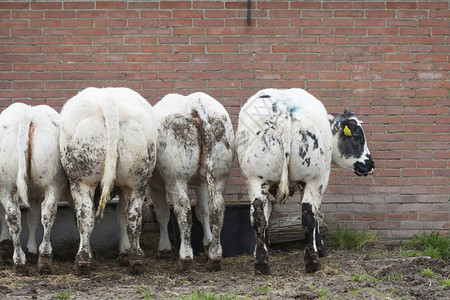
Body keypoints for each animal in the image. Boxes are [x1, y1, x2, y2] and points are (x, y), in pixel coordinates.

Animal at [0, 102, 67, 274]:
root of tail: (28, 113)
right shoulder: (35, 195)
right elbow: (33, 219)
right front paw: (31, 249)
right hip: (53, 182)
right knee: (47, 213)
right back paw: (44, 258)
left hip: (6, 185)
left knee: (12, 216)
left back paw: (19, 260)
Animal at [59, 86, 158, 274]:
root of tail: (108, 102)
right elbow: (122, 216)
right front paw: (125, 253)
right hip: (138, 181)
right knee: (134, 217)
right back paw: (136, 259)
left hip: (81, 180)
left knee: (85, 217)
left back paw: (82, 260)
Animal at [149, 92, 237, 272]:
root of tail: (193, 102)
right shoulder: (202, 183)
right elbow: (203, 211)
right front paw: (207, 244)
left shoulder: (154, 186)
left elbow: (162, 214)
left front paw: (164, 247)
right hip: (218, 175)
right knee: (216, 209)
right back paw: (214, 255)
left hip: (176, 178)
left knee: (183, 210)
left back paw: (185, 257)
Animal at [237, 87, 374, 274]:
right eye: (356, 137)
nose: (370, 164)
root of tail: (285, 110)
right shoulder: (320, 181)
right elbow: (316, 216)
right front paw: (320, 248)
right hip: (312, 179)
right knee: (308, 215)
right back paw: (312, 261)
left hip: (255, 178)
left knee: (258, 216)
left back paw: (261, 263)